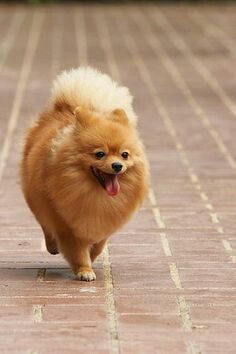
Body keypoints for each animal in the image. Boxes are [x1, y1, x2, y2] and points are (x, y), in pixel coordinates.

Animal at [20, 68, 149, 280]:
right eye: (100, 154)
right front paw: (84, 270)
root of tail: (67, 107)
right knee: (45, 224)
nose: (117, 166)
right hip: (37, 199)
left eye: (124, 154)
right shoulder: (66, 224)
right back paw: (52, 246)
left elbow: (99, 244)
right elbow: (77, 251)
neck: (96, 195)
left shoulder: (104, 221)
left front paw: (92, 257)